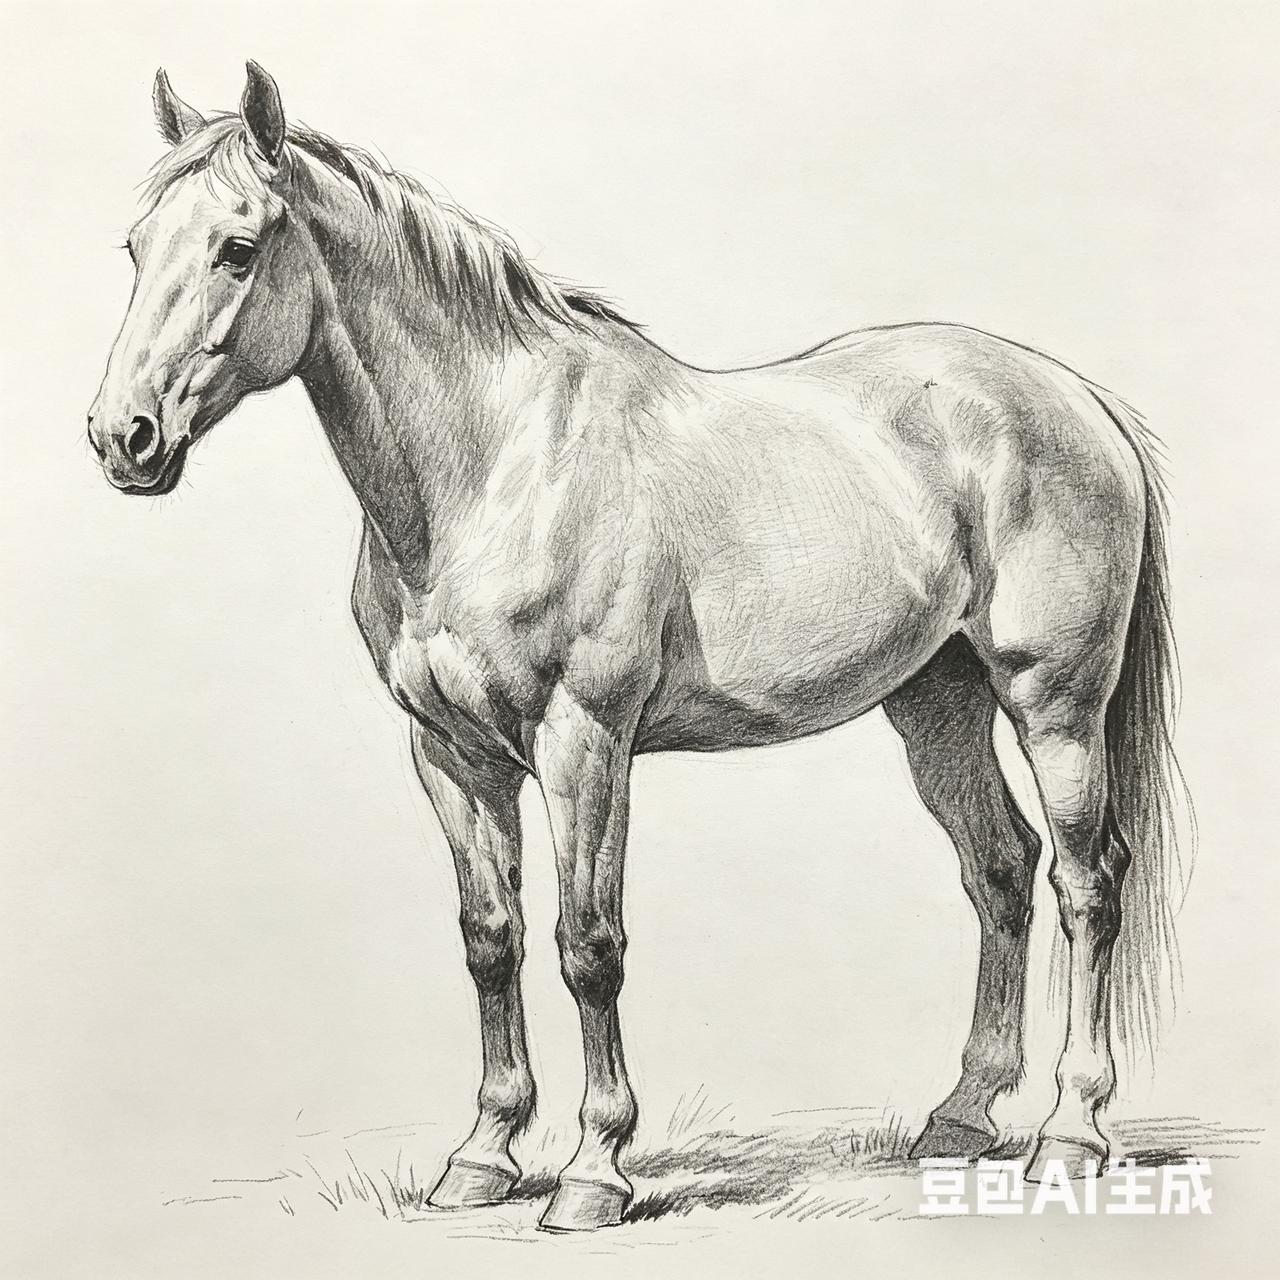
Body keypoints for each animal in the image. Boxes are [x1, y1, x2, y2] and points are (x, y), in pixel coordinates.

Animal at [89, 63, 1190, 1231]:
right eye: (136, 247)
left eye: (237, 247)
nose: (123, 438)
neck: (496, 464)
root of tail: (1077, 400)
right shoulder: (452, 755)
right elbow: (491, 939)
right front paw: (480, 1158)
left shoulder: (586, 742)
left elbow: (588, 944)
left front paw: (592, 1171)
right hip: (935, 705)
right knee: (999, 870)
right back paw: (962, 1117)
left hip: (1053, 704)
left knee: (1085, 881)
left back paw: (1071, 1134)